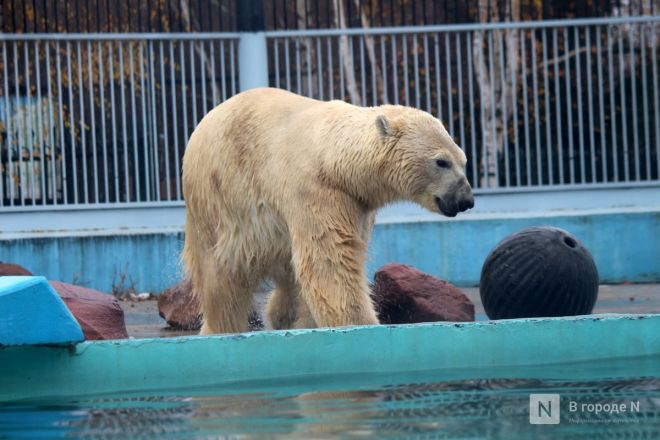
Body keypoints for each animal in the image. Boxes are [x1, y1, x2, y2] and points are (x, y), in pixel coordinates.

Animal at [180, 87, 472, 334]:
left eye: (464, 160)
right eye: (442, 162)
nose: (466, 200)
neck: (335, 159)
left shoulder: (357, 203)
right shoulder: (315, 192)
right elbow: (330, 262)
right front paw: (360, 325)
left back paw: (280, 316)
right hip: (217, 201)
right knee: (221, 280)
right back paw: (222, 328)